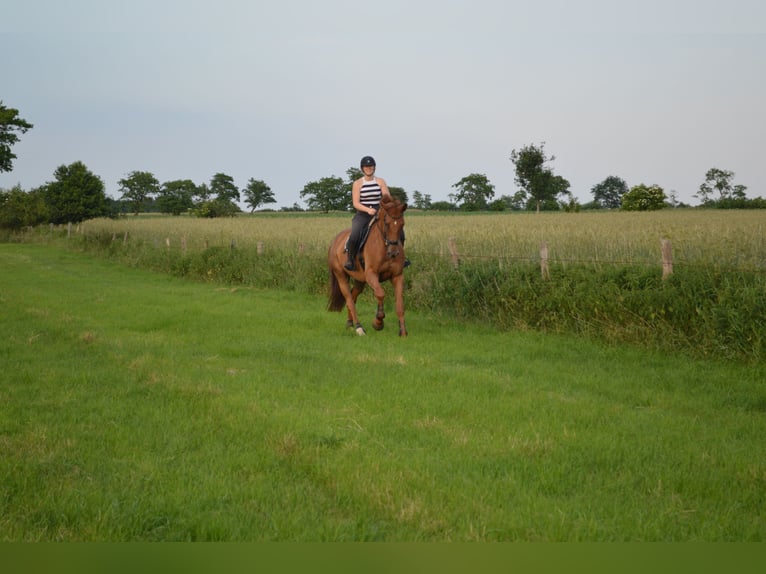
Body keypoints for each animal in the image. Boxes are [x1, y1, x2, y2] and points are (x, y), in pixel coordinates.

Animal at [328, 197, 408, 338]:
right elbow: (380, 294)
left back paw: (350, 324)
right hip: (341, 277)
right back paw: (359, 328)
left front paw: (402, 331)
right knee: (349, 300)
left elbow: (399, 304)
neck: (384, 247)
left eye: (402, 224)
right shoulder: (371, 274)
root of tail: (335, 241)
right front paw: (378, 323)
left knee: (353, 297)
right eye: (386, 223)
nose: (393, 252)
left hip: (360, 280)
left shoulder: (397, 276)